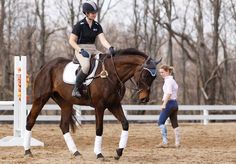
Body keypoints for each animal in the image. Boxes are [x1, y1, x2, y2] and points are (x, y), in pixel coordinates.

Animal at [23, 47, 160, 160]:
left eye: (154, 77)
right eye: (145, 75)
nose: (144, 99)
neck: (111, 74)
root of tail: (45, 66)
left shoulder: (114, 105)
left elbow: (125, 124)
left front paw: (119, 152)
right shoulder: (99, 106)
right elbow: (99, 129)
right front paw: (99, 154)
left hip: (66, 103)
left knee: (64, 126)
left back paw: (76, 152)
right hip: (40, 99)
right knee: (30, 120)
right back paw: (27, 152)